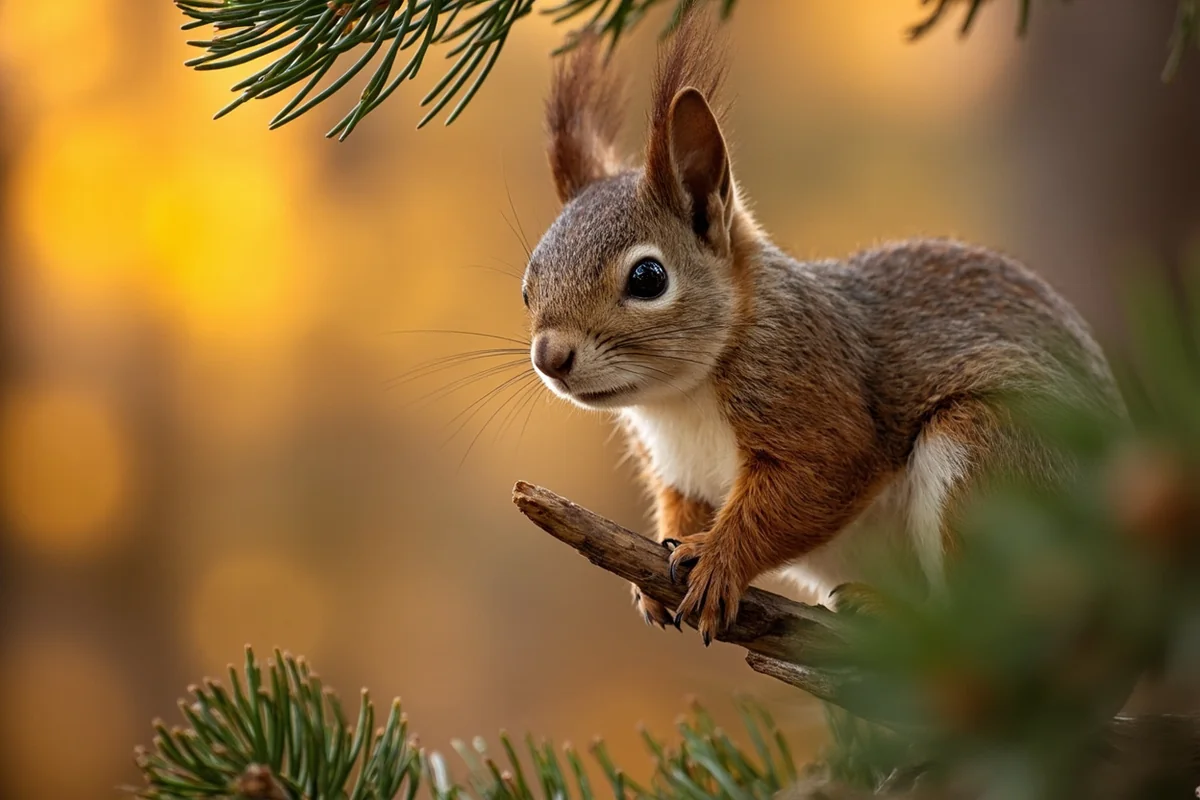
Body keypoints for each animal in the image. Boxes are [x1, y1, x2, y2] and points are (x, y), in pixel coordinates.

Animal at [520, 10, 1126, 645]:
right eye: (527, 285)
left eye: (647, 277)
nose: (550, 357)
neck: (680, 400)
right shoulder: (677, 471)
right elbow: (681, 510)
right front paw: (652, 577)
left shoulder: (810, 383)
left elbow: (818, 478)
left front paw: (718, 562)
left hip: (994, 458)